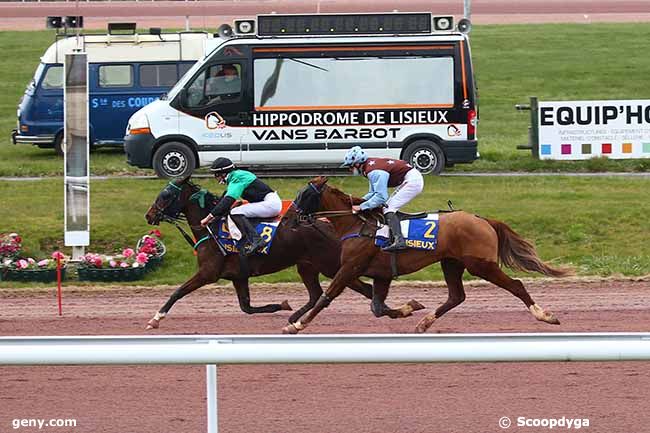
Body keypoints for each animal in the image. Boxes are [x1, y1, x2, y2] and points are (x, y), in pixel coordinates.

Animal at [144, 177, 422, 330]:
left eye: (166, 194)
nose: (149, 215)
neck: (211, 229)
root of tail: (330, 223)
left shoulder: (207, 272)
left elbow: (178, 292)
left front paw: (156, 318)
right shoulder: (238, 276)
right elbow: (247, 307)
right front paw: (281, 305)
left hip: (331, 265)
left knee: (359, 289)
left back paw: (403, 308)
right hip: (306, 265)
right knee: (318, 294)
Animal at [282, 176, 568, 334]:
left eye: (304, 194)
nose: (286, 218)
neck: (358, 225)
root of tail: (482, 219)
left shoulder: (351, 267)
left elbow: (327, 297)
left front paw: (296, 325)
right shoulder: (381, 274)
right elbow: (377, 307)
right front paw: (410, 307)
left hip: (480, 265)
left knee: (516, 285)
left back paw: (545, 315)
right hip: (451, 263)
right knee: (456, 296)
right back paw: (424, 323)